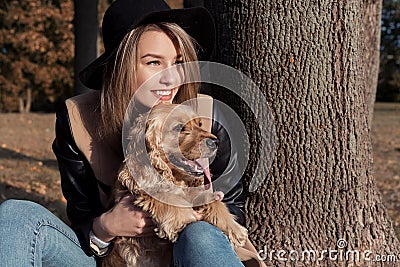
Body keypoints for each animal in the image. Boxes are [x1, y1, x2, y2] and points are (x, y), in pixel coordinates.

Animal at [101, 103, 247, 266]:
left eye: (199, 124)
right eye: (179, 128)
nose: (215, 142)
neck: (177, 179)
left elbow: (213, 201)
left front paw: (235, 229)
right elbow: (165, 194)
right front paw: (182, 219)